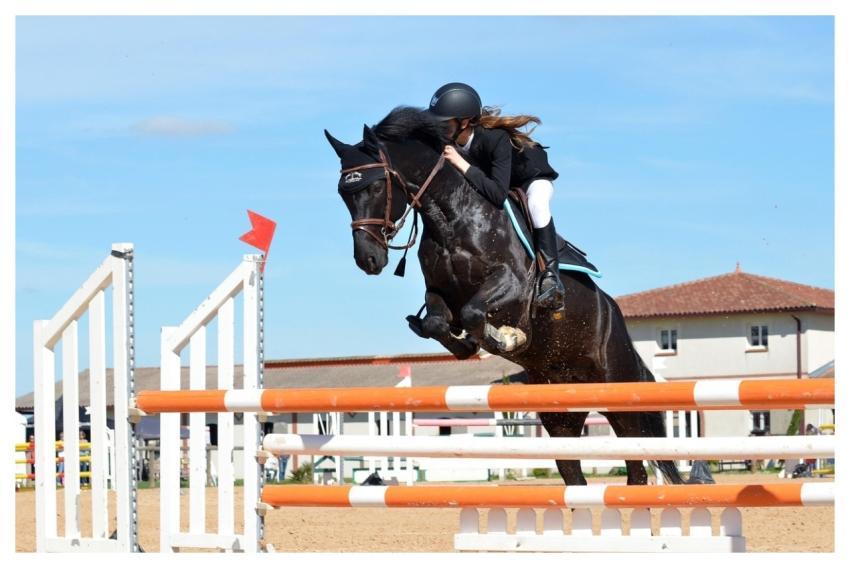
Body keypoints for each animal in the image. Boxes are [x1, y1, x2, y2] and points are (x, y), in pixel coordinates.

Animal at [325, 106, 684, 486]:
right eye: (343, 194)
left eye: (378, 185)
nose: (368, 259)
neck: (451, 217)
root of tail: (615, 315)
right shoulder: (439, 294)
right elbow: (439, 323)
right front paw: (468, 344)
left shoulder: (512, 285)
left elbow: (475, 312)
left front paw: (507, 338)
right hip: (560, 412)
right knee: (576, 474)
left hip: (618, 390)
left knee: (637, 465)